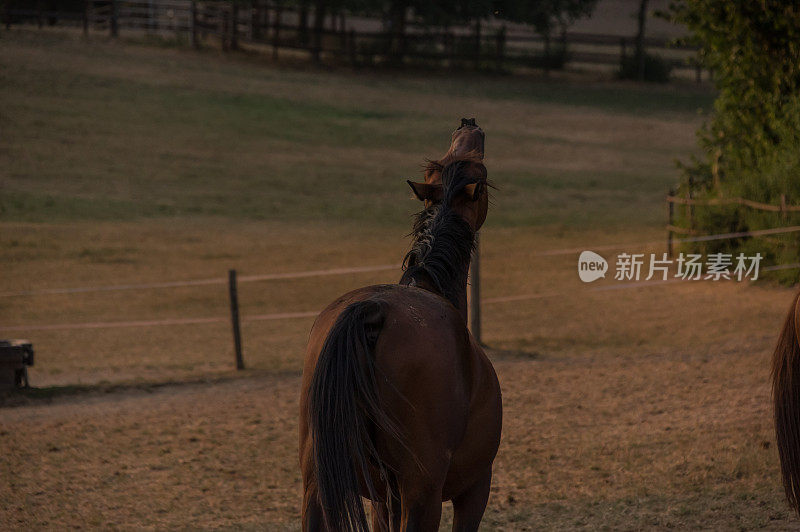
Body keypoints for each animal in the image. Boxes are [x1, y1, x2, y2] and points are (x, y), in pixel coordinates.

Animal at [298, 118, 500, 528]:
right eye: (483, 175)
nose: (468, 124)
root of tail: (374, 311)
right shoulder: (474, 491)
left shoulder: (381, 501)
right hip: (422, 495)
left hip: (318, 489)